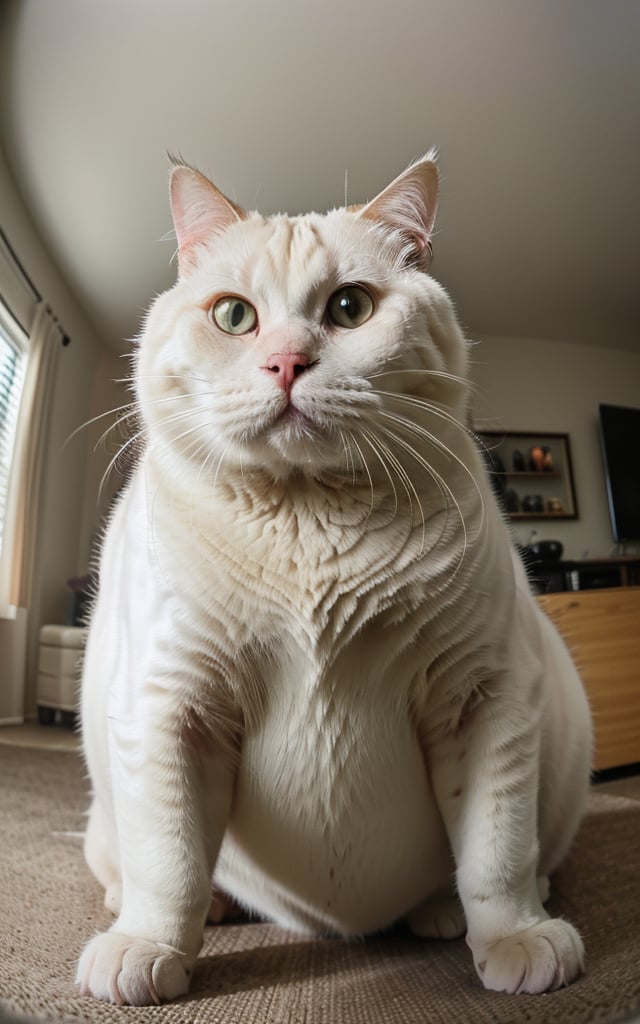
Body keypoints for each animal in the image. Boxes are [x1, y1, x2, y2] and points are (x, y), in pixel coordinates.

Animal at [77, 155, 589, 1003]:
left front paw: (514, 936)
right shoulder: (169, 706)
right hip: (102, 801)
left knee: (523, 859)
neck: (308, 527)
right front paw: (151, 948)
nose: (287, 363)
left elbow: (496, 848)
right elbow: (169, 862)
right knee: (131, 867)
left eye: (350, 308)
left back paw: (453, 912)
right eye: (234, 317)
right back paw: (186, 911)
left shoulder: (484, 698)